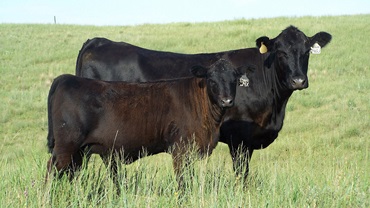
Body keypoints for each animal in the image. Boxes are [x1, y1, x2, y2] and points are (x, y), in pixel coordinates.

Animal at [44, 59, 250, 190]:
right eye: (212, 79)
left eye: (234, 80)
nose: (227, 100)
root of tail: (66, 78)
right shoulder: (181, 149)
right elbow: (182, 182)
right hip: (66, 146)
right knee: (51, 172)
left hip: (79, 152)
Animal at [76, 25, 332, 179]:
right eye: (280, 52)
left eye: (307, 51)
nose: (298, 80)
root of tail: (96, 42)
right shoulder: (239, 139)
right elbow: (242, 173)